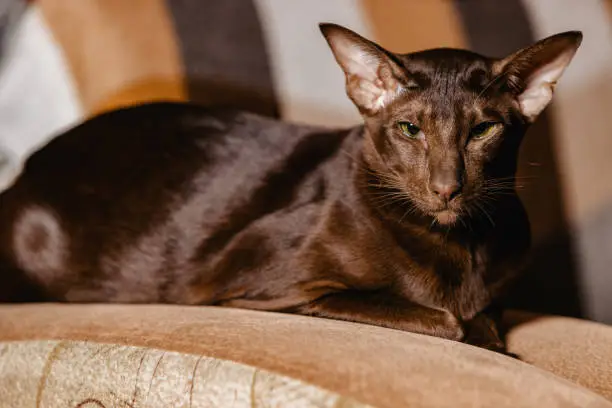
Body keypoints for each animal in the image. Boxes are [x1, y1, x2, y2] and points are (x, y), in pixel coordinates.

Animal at [0, 23, 584, 352]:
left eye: (483, 131)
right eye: (409, 129)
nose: (447, 188)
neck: (458, 244)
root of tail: (31, 163)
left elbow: (484, 319)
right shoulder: (265, 291)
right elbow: (447, 320)